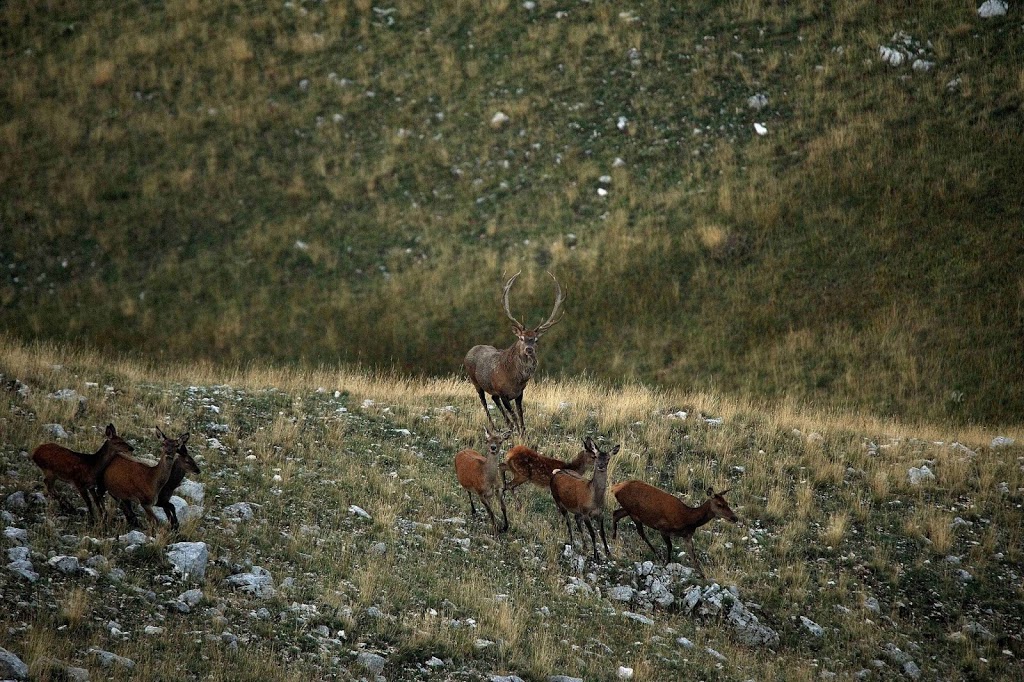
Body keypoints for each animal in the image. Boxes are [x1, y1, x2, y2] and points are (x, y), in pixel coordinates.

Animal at [466, 270, 569, 436]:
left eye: (535, 340)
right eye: (521, 338)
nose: (529, 349)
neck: (515, 380)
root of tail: (470, 349)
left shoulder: (520, 393)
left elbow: (520, 414)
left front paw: (523, 432)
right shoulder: (502, 392)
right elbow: (514, 413)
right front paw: (518, 433)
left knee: (493, 399)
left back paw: (507, 425)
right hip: (475, 382)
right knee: (484, 402)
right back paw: (494, 426)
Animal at [610, 481, 741, 577]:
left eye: (727, 503)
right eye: (719, 504)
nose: (735, 518)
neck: (687, 520)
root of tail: (615, 487)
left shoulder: (687, 536)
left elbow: (693, 556)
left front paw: (702, 576)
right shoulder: (662, 528)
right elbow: (670, 547)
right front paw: (666, 563)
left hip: (628, 510)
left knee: (615, 513)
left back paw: (613, 538)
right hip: (633, 513)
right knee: (640, 532)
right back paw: (656, 554)